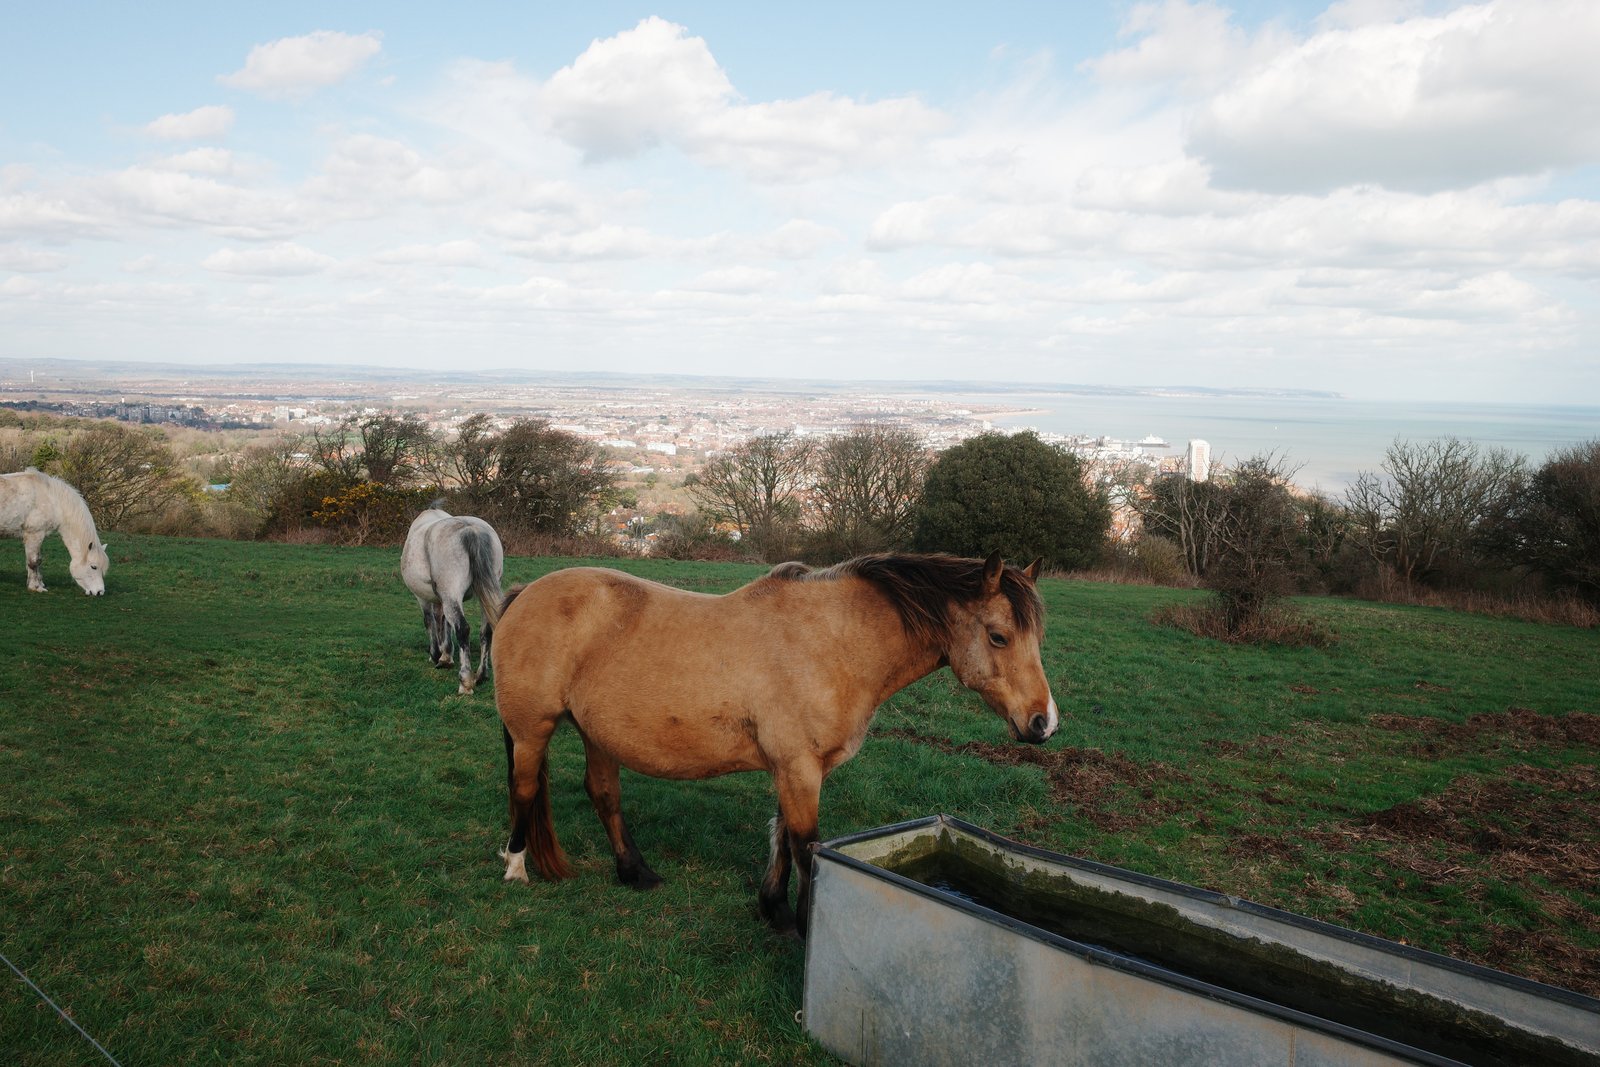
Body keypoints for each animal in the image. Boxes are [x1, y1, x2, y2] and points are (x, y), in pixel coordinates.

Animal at [400, 507, 505, 695]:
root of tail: (471, 529)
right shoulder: (443, 598)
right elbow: (444, 622)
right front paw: (446, 656)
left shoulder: (423, 598)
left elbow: (430, 621)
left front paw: (436, 655)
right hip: (482, 594)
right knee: (486, 631)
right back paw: (481, 675)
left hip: (451, 593)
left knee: (463, 628)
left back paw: (466, 682)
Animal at [492, 551, 1058, 937]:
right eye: (999, 636)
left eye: (1036, 638)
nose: (1043, 723)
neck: (831, 642)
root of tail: (524, 594)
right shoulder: (798, 767)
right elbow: (805, 847)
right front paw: (803, 925)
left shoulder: (798, 769)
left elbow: (782, 837)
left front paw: (775, 910)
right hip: (532, 730)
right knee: (524, 791)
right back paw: (515, 869)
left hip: (597, 733)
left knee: (604, 795)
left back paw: (636, 872)